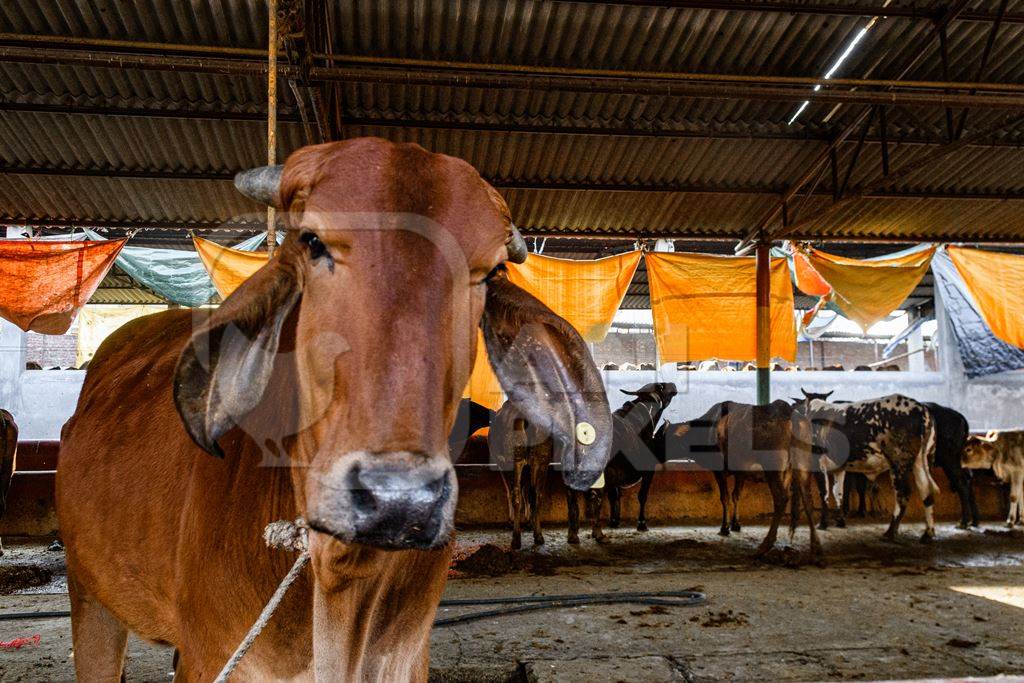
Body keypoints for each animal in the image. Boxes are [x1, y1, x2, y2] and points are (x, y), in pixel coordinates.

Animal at [802, 395, 937, 544]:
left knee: (903, 495)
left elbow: (824, 493)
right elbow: (838, 493)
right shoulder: (839, 468)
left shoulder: (819, 463)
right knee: (926, 491)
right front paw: (840, 521)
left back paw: (890, 533)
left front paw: (822, 524)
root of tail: (921, 409)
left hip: (898, 463)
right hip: (922, 461)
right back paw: (927, 534)